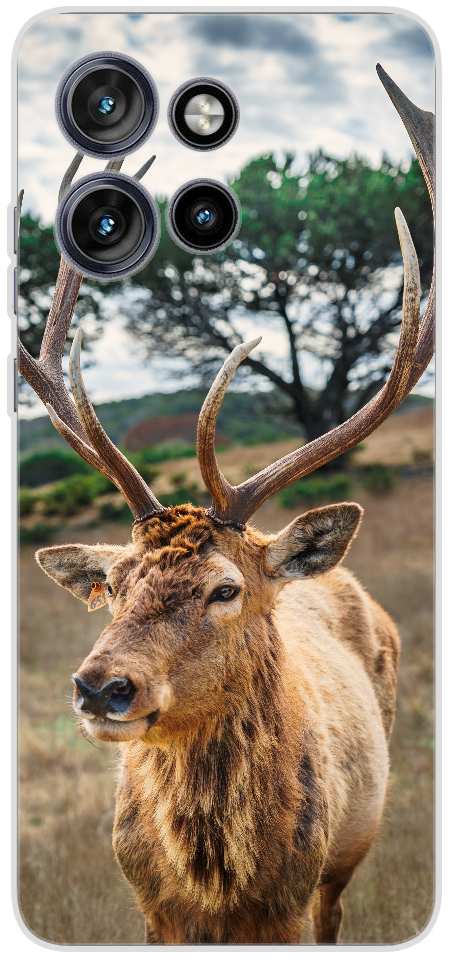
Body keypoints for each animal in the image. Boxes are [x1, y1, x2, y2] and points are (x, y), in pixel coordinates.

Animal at [19, 66, 434, 944]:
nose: (101, 687)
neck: (219, 886)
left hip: (348, 857)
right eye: (114, 584)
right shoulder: (151, 910)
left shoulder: (295, 900)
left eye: (225, 587)